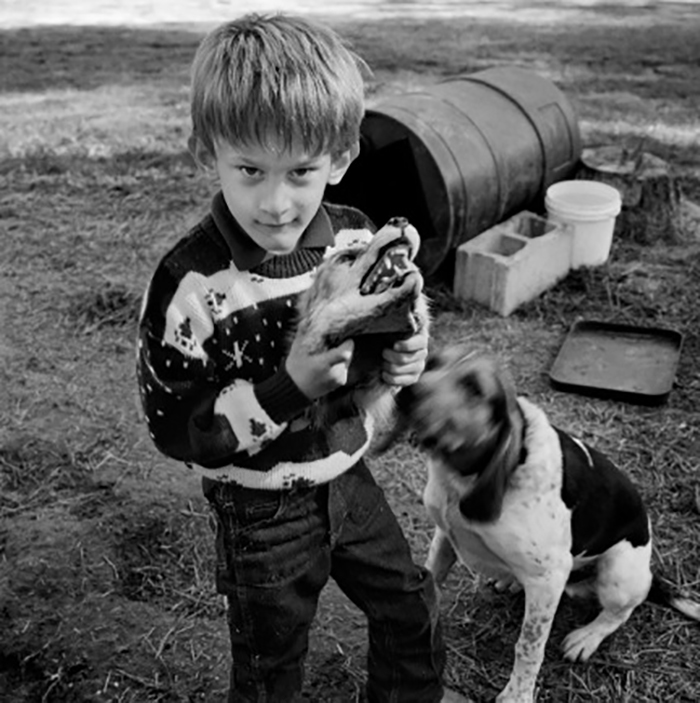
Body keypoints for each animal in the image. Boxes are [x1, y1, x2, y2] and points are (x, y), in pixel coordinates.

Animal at [400, 350, 700, 703]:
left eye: (474, 387)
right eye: (432, 362)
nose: (405, 391)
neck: (463, 475)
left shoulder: (548, 578)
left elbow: (529, 646)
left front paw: (517, 694)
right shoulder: (444, 536)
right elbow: (431, 582)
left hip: (619, 574)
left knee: (621, 611)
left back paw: (586, 636)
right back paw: (511, 581)